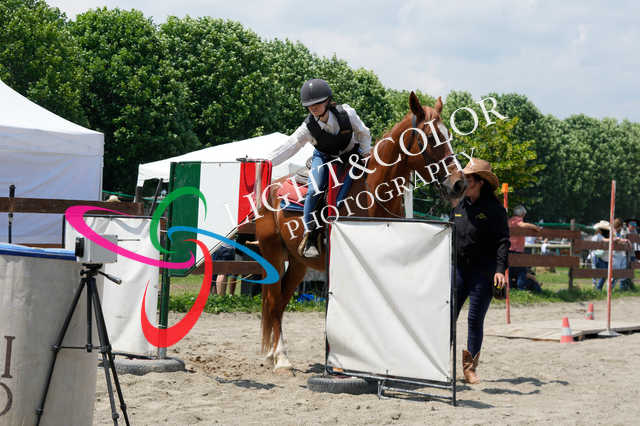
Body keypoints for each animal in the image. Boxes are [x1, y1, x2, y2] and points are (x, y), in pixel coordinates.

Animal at [254, 92, 465, 371]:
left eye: (448, 135)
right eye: (431, 137)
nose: (459, 184)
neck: (373, 190)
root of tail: (271, 191)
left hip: (298, 263)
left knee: (278, 304)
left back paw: (274, 354)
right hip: (274, 255)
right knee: (273, 301)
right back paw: (281, 358)